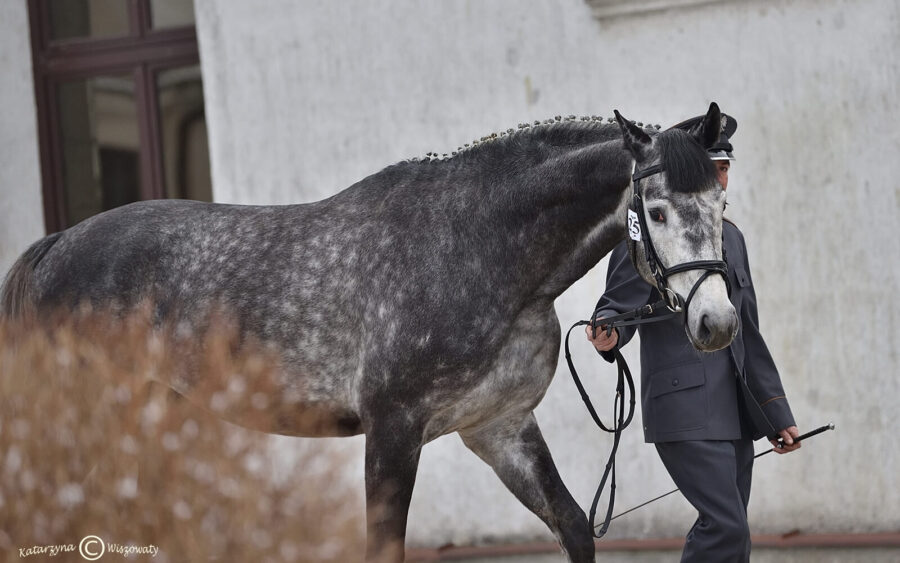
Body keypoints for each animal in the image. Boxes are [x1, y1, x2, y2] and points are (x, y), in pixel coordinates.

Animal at [3, 103, 740, 560]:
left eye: (719, 200)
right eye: (655, 210)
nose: (717, 322)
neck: (475, 245)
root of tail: (56, 246)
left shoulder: (499, 429)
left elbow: (575, 527)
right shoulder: (393, 430)